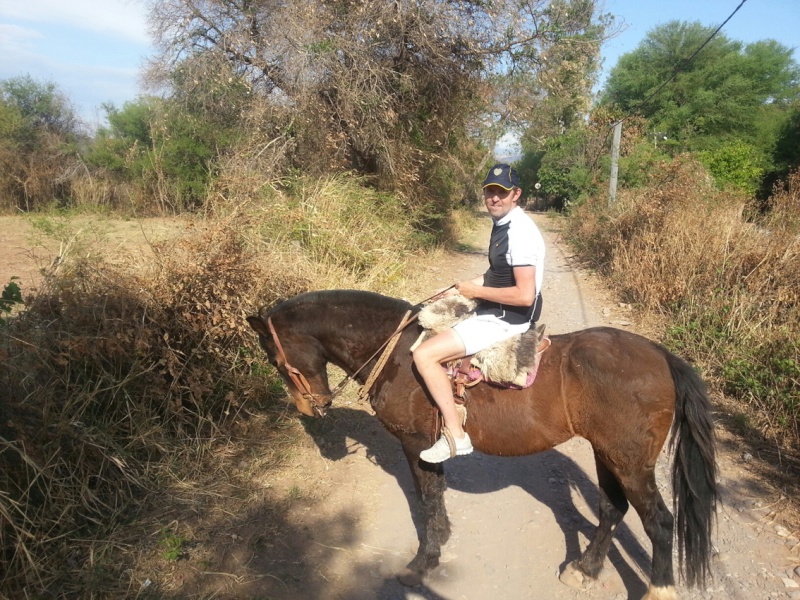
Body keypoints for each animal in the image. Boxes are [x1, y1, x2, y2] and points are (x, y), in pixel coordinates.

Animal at [247, 288, 716, 596]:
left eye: (273, 357)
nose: (311, 408)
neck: (399, 352)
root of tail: (660, 355)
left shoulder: (415, 444)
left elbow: (427, 499)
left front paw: (420, 565)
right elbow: (435, 495)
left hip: (631, 463)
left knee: (659, 522)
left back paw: (658, 588)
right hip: (608, 454)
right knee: (611, 509)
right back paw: (585, 568)